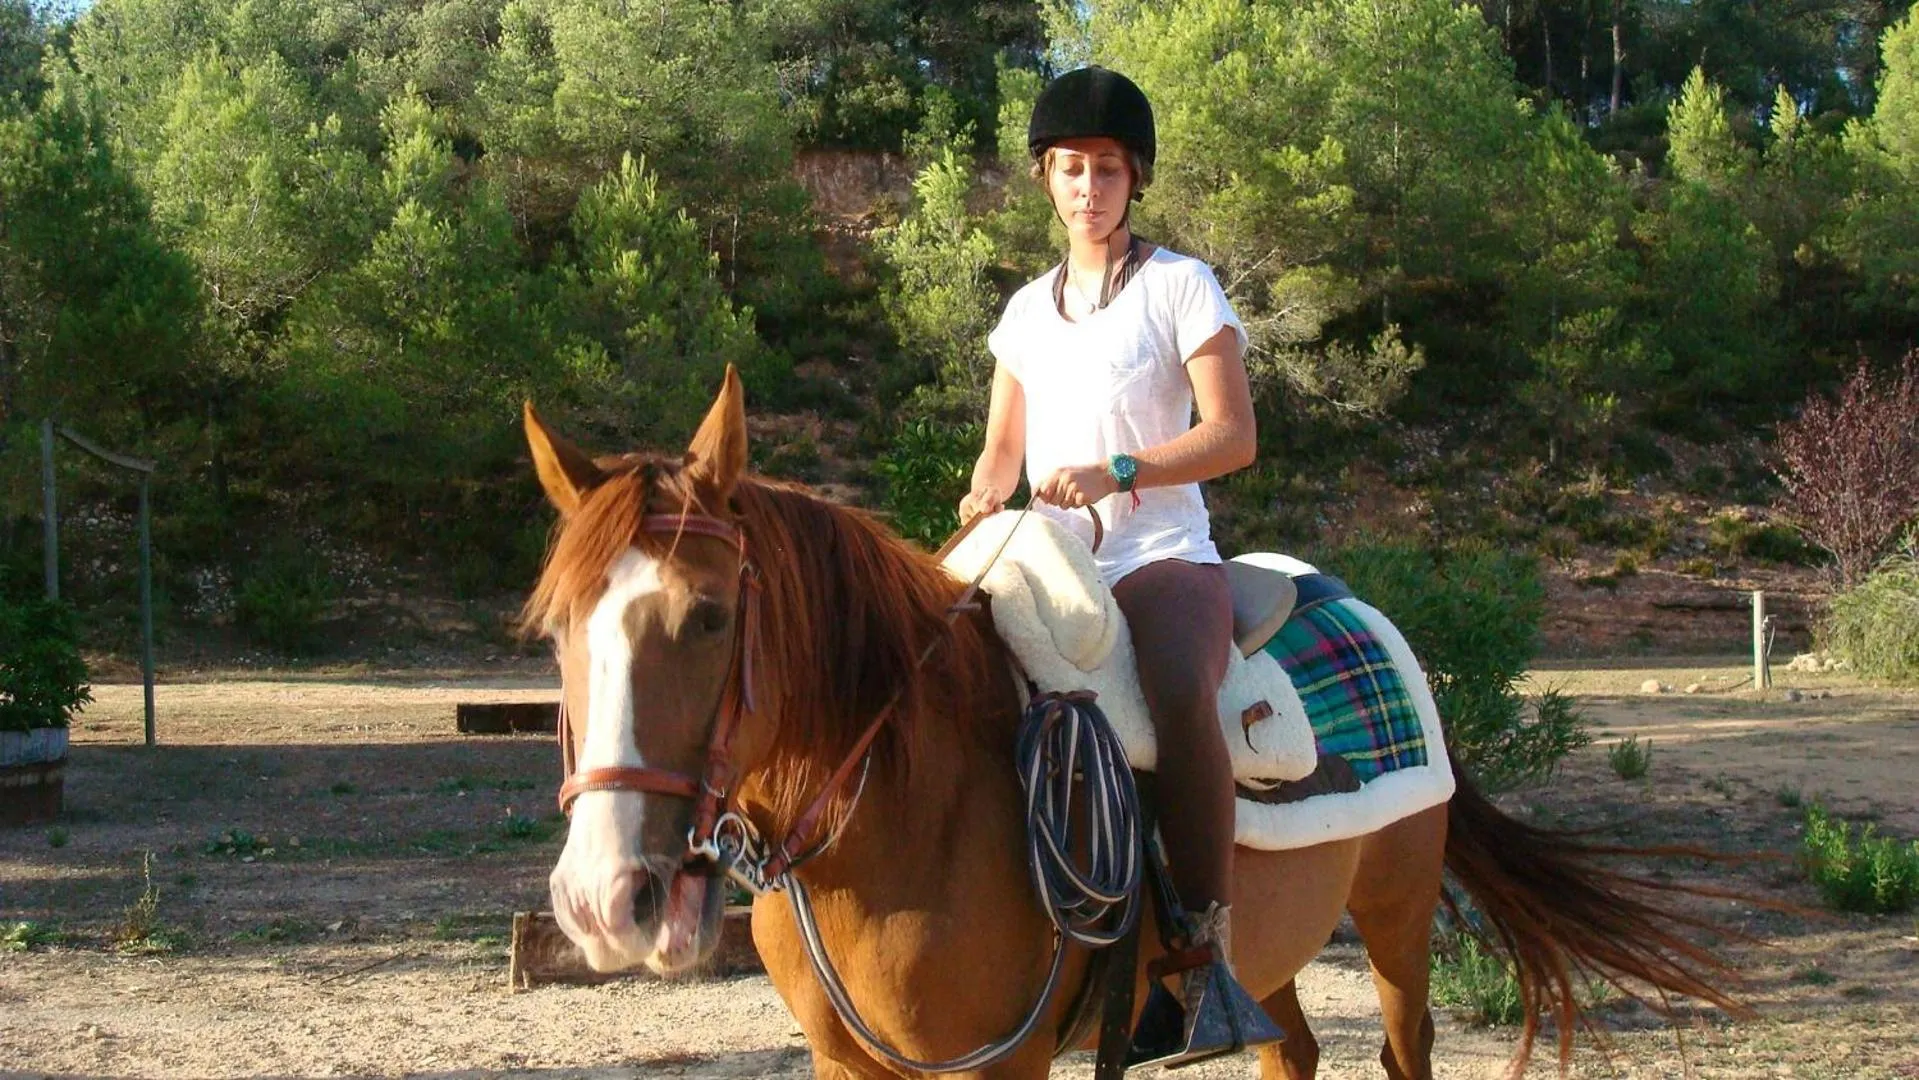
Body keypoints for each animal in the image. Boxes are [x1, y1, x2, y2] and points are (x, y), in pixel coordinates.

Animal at [522, 367, 1744, 1079]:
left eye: (709, 615)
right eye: (556, 629)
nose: (602, 899)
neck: (900, 814)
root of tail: (1351, 599)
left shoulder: (1001, 1069)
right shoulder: (849, 1067)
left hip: (1395, 917)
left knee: (1402, 1050)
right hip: (1274, 946)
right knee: (1290, 1049)